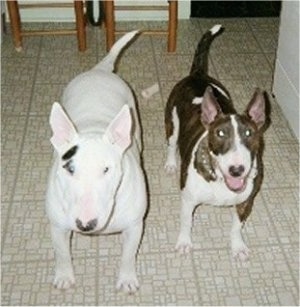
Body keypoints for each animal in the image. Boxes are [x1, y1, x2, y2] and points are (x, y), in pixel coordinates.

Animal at [45, 30, 146, 294]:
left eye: (106, 169)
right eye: (69, 168)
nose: (86, 224)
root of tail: (99, 70)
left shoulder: (135, 226)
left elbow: (128, 255)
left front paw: (127, 279)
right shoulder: (57, 226)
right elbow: (61, 252)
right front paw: (64, 276)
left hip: (134, 117)